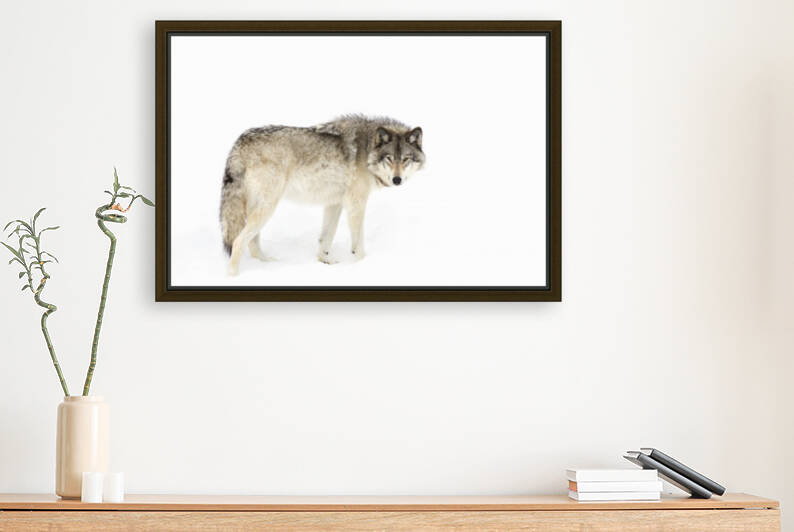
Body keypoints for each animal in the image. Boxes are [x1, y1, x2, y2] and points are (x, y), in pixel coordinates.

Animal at [219, 114, 425, 275]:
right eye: (389, 158)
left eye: (405, 159)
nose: (397, 180)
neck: (367, 150)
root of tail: (240, 141)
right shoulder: (356, 204)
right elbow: (358, 244)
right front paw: (362, 265)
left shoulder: (335, 203)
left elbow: (326, 237)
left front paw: (325, 261)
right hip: (267, 207)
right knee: (238, 242)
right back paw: (234, 276)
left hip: (259, 209)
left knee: (252, 243)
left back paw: (267, 263)